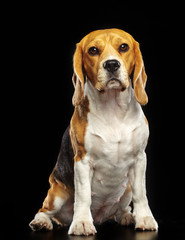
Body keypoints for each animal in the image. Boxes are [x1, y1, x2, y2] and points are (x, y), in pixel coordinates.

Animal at [29, 29, 158, 235]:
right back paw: (42, 222)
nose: (112, 64)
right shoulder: (82, 161)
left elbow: (141, 194)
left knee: (122, 208)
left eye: (123, 47)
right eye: (93, 50)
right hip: (56, 193)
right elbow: (83, 196)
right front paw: (82, 223)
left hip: (126, 189)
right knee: (44, 210)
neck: (113, 110)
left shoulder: (139, 159)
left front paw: (144, 218)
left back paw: (127, 216)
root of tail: (99, 217)